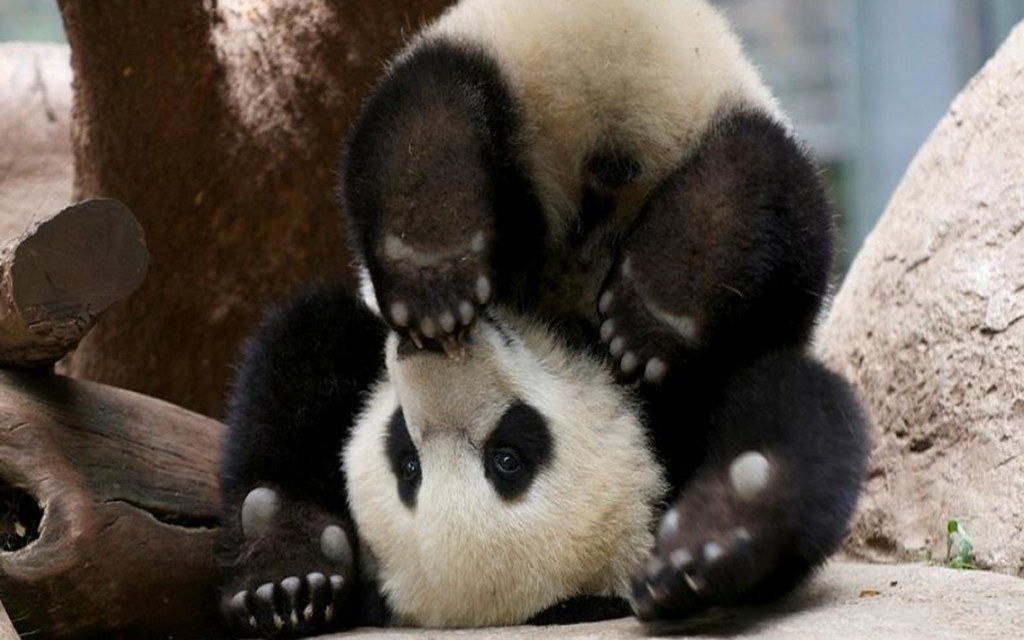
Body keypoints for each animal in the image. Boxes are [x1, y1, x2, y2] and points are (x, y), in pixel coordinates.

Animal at [216, 0, 869, 637]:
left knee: (766, 189)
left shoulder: (687, 402)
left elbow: (801, 413)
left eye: (508, 458)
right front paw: (288, 569)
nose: (426, 354)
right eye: (406, 460)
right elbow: (299, 359)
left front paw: (714, 533)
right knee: (436, 98)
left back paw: (640, 308)